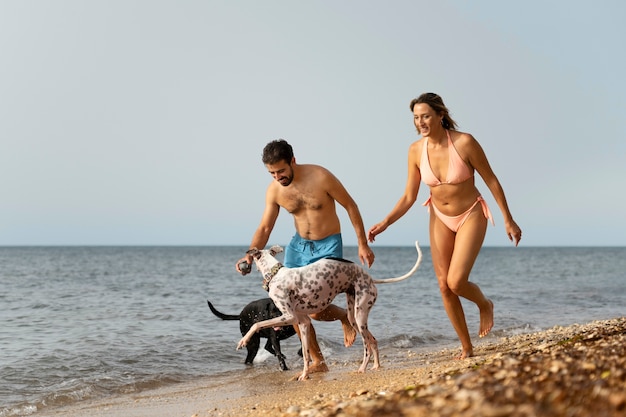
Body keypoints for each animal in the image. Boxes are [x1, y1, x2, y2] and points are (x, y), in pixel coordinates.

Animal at [236, 240, 422, 380]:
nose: (244, 264)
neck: (275, 274)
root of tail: (370, 278)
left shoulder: (288, 317)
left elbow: (257, 324)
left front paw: (243, 341)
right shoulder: (303, 322)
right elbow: (306, 354)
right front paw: (304, 375)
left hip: (360, 316)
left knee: (367, 347)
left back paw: (362, 368)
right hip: (354, 316)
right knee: (374, 340)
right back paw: (376, 366)